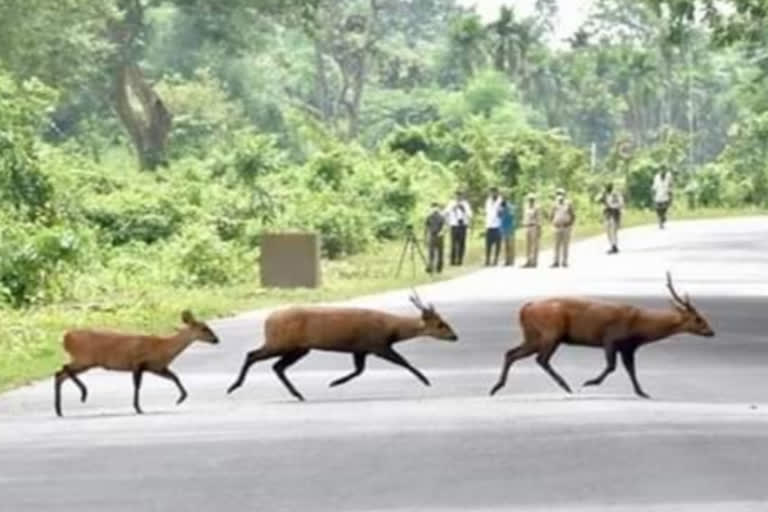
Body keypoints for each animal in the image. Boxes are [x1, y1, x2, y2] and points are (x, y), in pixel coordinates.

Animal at [54, 312, 219, 416]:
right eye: (204, 328)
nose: (216, 340)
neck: (163, 348)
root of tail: (65, 338)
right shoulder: (138, 363)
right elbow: (137, 386)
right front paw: (138, 408)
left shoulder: (156, 367)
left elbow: (175, 377)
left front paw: (181, 398)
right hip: (85, 359)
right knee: (64, 368)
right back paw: (83, 394)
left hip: (85, 362)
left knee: (59, 375)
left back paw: (59, 410)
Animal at [225, 292, 460, 400]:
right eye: (440, 324)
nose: (455, 336)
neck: (392, 329)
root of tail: (267, 320)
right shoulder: (377, 344)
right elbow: (404, 362)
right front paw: (426, 381)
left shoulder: (361, 349)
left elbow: (359, 370)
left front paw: (334, 382)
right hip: (280, 342)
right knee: (252, 355)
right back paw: (233, 386)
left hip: (298, 348)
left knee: (277, 366)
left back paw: (298, 394)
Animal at [488, 272, 716, 400]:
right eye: (698, 319)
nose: (711, 332)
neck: (640, 327)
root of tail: (525, 308)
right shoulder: (611, 338)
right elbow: (611, 367)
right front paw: (590, 382)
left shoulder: (628, 347)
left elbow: (631, 370)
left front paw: (642, 392)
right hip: (551, 332)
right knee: (540, 359)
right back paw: (566, 386)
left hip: (533, 335)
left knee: (511, 353)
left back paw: (495, 388)